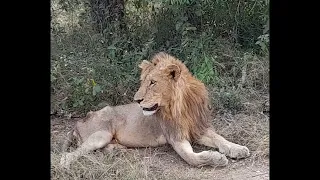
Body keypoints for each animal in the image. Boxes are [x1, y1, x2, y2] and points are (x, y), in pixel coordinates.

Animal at [60, 52, 250, 169]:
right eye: (143, 82)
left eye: (152, 82)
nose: (136, 100)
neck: (181, 105)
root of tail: (78, 121)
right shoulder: (175, 137)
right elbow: (192, 158)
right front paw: (216, 158)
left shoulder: (197, 128)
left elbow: (220, 139)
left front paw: (238, 149)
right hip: (101, 134)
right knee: (69, 155)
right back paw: (65, 165)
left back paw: (118, 151)